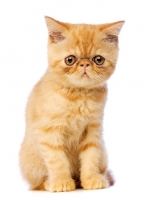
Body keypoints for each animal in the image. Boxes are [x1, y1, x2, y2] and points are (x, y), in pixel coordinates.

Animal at [19, 16, 124, 191]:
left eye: (98, 60)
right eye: (70, 60)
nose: (85, 64)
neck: (79, 97)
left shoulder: (93, 130)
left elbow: (91, 156)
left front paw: (91, 179)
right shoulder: (49, 132)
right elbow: (57, 159)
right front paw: (61, 181)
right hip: (30, 161)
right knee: (37, 183)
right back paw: (50, 182)